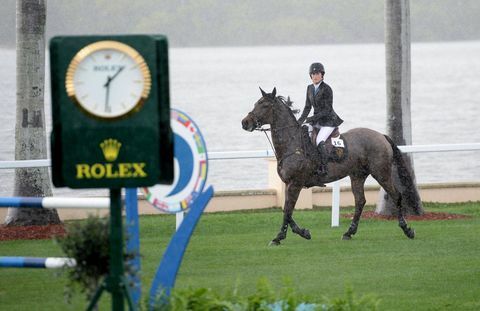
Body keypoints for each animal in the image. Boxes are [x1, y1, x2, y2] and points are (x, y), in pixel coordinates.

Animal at [240, 87, 420, 246]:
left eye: (264, 105)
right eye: (256, 103)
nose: (245, 123)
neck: (292, 144)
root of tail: (381, 136)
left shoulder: (295, 184)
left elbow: (288, 210)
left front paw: (280, 237)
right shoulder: (288, 183)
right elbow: (287, 210)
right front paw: (302, 233)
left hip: (381, 173)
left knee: (396, 196)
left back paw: (407, 230)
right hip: (357, 175)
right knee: (360, 201)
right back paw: (349, 233)